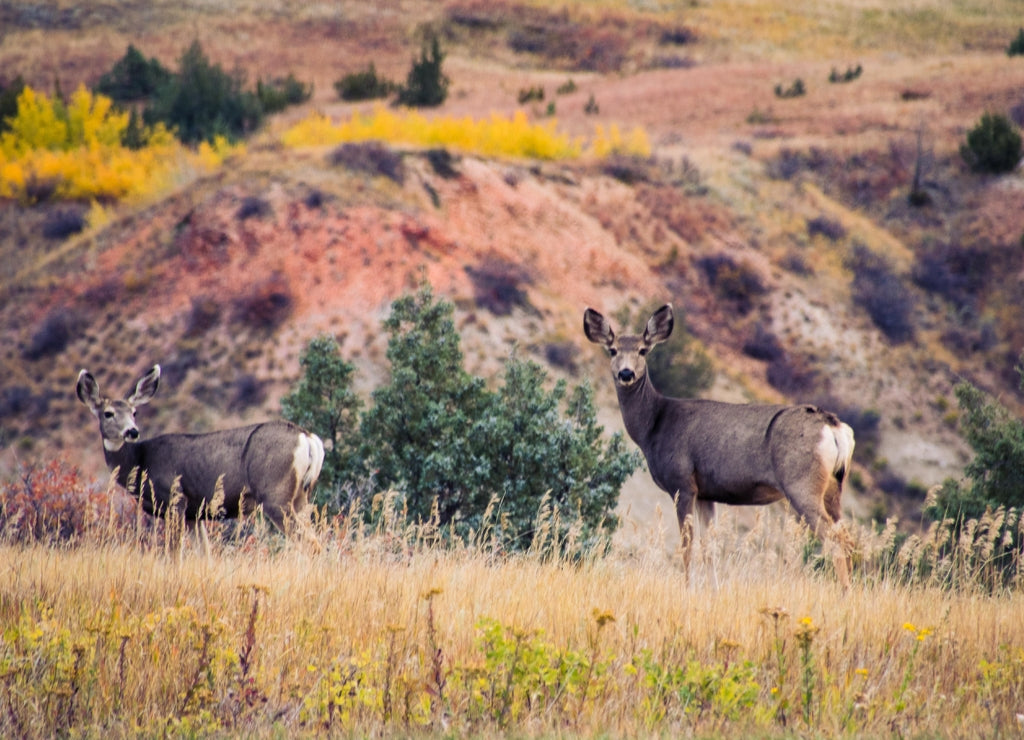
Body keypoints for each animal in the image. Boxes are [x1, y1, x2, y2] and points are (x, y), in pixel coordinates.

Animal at [76, 364, 323, 544]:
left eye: (134, 412)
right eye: (108, 413)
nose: (132, 431)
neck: (140, 461)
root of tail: (307, 437)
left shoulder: (175, 500)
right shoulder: (195, 515)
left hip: (276, 495)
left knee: (310, 543)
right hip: (301, 498)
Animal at [585, 302, 856, 589]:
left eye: (642, 350)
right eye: (613, 349)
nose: (626, 373)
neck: (655, 425)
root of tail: (834, 426)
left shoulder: (682, 483)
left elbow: (687, 545)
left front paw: (688, 587)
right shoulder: (706, 492)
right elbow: (709, 547)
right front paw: (712, 590)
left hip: (801, 484)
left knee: (834, 539)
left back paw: (844, 592)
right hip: (833, 487)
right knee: (847, 537)